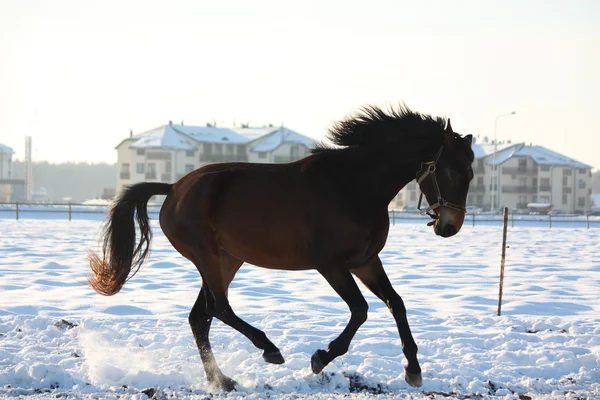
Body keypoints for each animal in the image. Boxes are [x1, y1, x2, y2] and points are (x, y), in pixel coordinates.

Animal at [88, 104, 474, 392]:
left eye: (470, 173)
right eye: (452, 172)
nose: (450, 226)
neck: (353, 186)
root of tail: (173, 189)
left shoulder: (365, 261)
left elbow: (396, 303)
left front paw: (413, 369)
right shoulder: (331, 264)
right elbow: (361, 310)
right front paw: (320, 358)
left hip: (227, 259)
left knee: (201, 316)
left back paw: (222, 380)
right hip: (208, 257)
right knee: (219, 308)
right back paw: (269, 350)